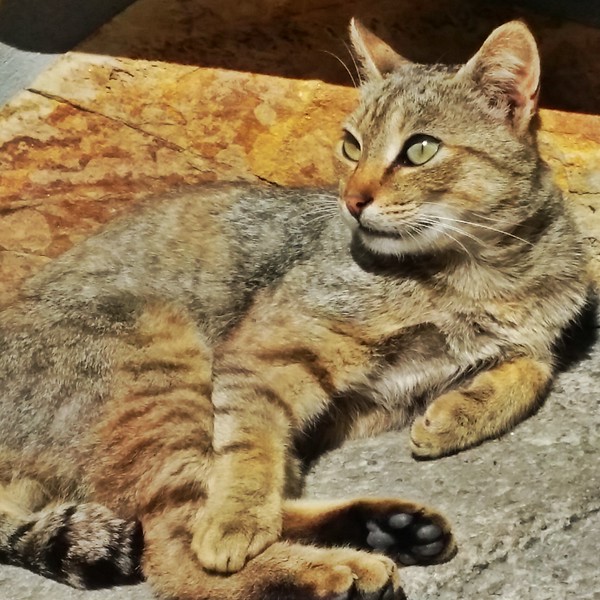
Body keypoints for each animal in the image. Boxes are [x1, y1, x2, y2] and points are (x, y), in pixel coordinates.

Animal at [0, 16, 588, 600]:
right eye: (351, 146)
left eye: (419, 149)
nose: (352, 201)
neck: (475, 274)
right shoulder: (260, 355)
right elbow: (247, 457)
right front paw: (235, 523)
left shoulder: (518, 338)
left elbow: (534, 368)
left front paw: (458, 413)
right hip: (161, 363)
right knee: (175, 545)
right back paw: (331, 570)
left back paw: (388, 528)